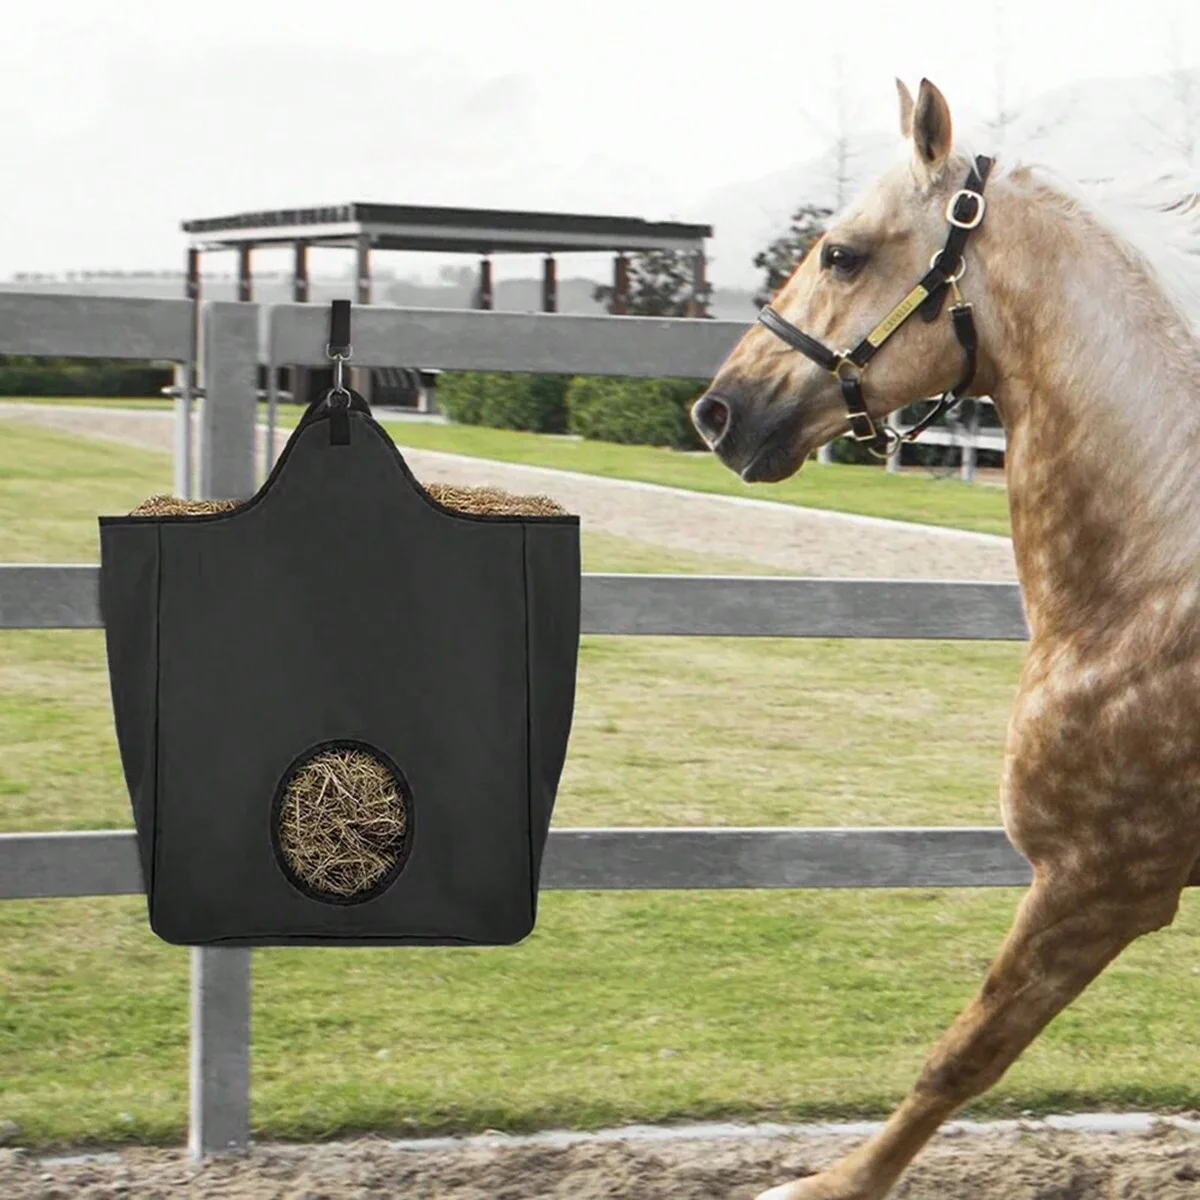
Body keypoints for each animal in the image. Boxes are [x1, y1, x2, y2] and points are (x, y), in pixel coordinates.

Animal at [691, 78, 1200, 1200]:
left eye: (842, 252)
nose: (718, 411)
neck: (1152, 591)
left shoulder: (1099, 883)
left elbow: (963, 1056)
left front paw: (828, 1186)